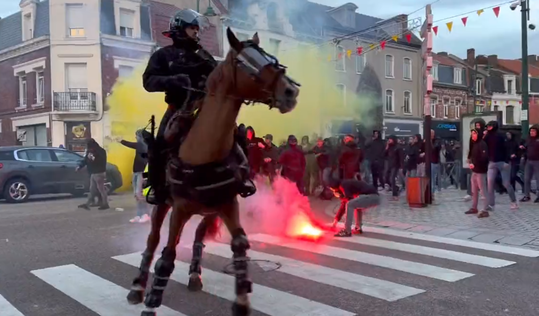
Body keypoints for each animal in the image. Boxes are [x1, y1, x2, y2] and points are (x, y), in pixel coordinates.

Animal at [138, 27, 300, 316]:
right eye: (246, 62)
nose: (291, 91)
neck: (205, 147)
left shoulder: (227, 204)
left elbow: (240, 246)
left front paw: (242, 302)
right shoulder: (179, 209)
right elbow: (166, 257)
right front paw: (151, 303)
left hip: (208, 211)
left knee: (198, 236)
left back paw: (194, 274)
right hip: (163, 205)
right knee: (153, 241)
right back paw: (137, 286)